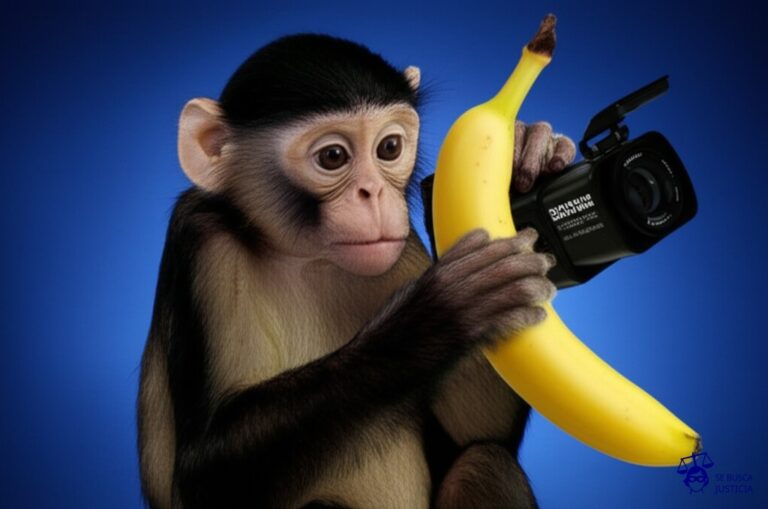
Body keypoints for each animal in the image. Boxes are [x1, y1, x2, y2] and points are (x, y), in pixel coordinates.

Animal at [138, 33, 577, 509]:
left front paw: (524, 152)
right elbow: (205, 477)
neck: (304, 257)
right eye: (333, 156)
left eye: (389, 148)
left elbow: (477, 432)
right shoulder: (201, 240)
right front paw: (432, 319)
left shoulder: (402, 247)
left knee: (485, 463)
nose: (375, 192)